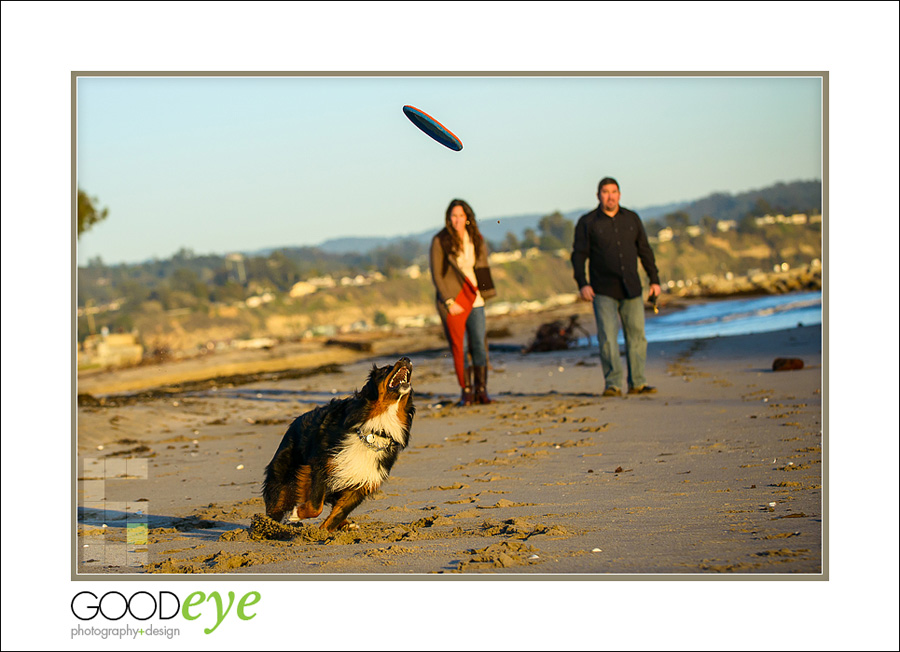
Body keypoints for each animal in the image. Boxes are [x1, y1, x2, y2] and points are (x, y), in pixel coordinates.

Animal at [260, 356, 414, 528]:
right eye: (386, 368)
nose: (406, 358)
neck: (375, 431)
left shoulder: (362, 482)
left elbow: (338, 515)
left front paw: (324, 530)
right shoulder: (321, 466)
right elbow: (315, 506)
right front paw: (296, 514)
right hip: (283, 477)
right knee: (276, 506)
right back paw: (268, 526)